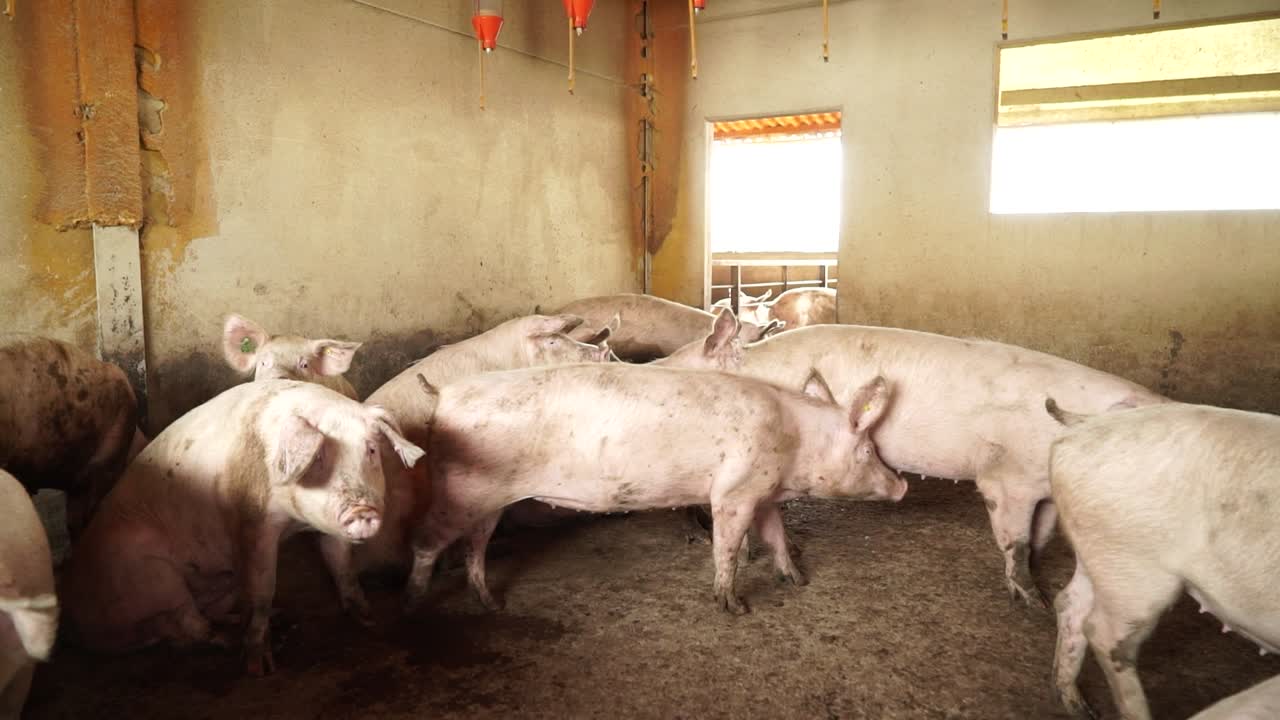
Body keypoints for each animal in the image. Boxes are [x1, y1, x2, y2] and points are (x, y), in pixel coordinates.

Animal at [62, 381, 424, 676]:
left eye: (371, 450)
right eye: (318, 457)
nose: (362, 510)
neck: (294, 522)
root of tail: (82, 629)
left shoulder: (325, 530)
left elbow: (340, 563)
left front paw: (366, 617)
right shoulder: (252, 521)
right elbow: (261, 588)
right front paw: (257, 667)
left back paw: (251, 620)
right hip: (153, 576)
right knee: (190, 626)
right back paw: (230, 640)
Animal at [402, 363, 907, 615]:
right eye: (868, 449)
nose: (901, 486)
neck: (795, 440)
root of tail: (443, 395)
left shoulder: (763, 490)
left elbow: (777, 536)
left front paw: (798, 580)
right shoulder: (734, 491)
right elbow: (727, 547)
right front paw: (735, 608)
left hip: (489, 499)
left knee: (475, 545)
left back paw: (490, 603)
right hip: (462, 488)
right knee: (426, 539)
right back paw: (415, 600)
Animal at [660, 310, 1164, 606]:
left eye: (681, 364)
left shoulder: (1023, 482)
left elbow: (1030, 541)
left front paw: (1035, 599)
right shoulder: (1012, 481)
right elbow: (1022, 541)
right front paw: (1034, 602)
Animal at [1047, 400, 1280, 720]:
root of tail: (1083, 426)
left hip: (1101, 555)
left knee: (1069, 603)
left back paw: (1079, 707)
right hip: (1136, 569)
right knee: (1104, 635)